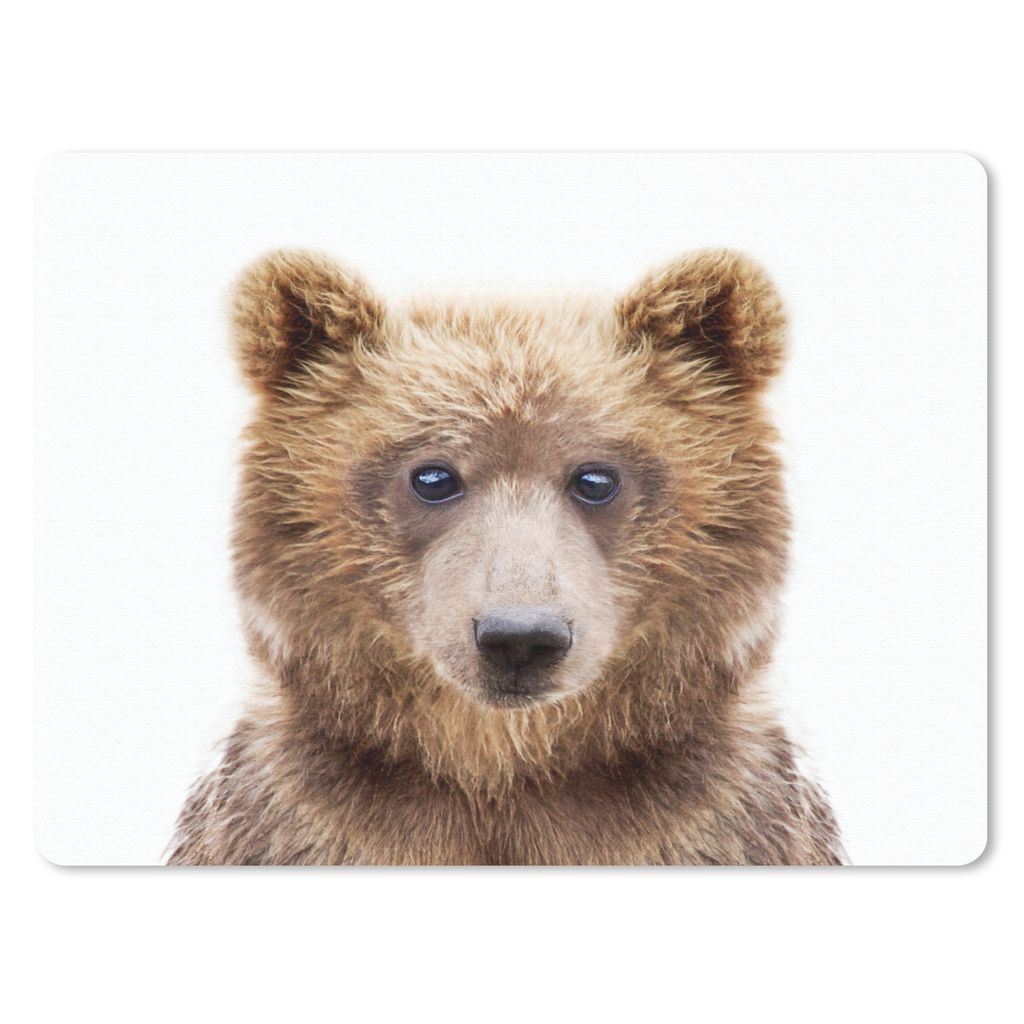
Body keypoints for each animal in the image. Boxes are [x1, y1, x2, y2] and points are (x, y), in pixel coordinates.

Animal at [167, 248, 844, 866]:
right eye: (432, 476)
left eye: (596, 478)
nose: (520, 637)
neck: (503, 770)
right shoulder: (289, 821)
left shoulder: (725, 821)